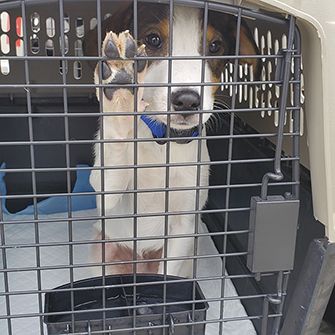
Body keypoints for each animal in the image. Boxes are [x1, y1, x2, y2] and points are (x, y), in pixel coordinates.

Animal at [84, 1, 260, 278]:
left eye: (215, 46)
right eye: (153, 39)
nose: (187, 101)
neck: (162, 141)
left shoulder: (183, 225)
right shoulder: (106, 194)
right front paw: (121, 92)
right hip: (100, 254)